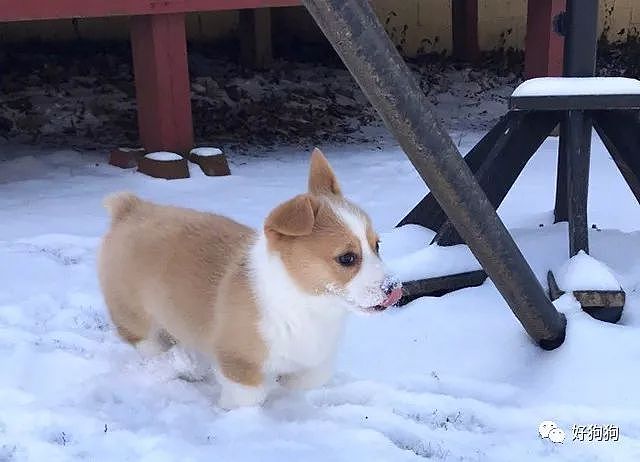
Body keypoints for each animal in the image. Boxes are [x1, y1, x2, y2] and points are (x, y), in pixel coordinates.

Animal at [99, 149, 400, 408]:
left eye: (377, 246)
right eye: (347, 258)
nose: (395, 289)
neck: (303, 302)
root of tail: (130, 208)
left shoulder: (313, 358)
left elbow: (309, 378)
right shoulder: (241, 363)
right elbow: (248, 398)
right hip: (134, 314)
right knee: (145, 341)